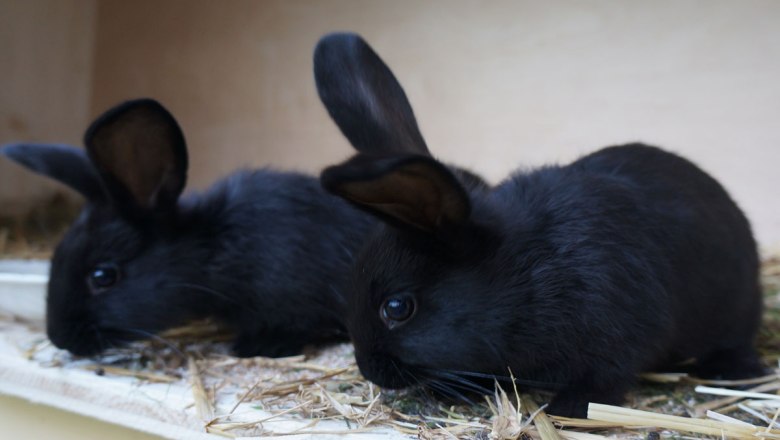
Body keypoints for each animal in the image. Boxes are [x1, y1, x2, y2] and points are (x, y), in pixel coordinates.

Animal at [312, 32, 760, 418]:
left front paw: (567, 410)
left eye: (397, 308)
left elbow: (604, 380)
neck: (521, 275)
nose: (368, 369)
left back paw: (733, 369)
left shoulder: (619, 337)